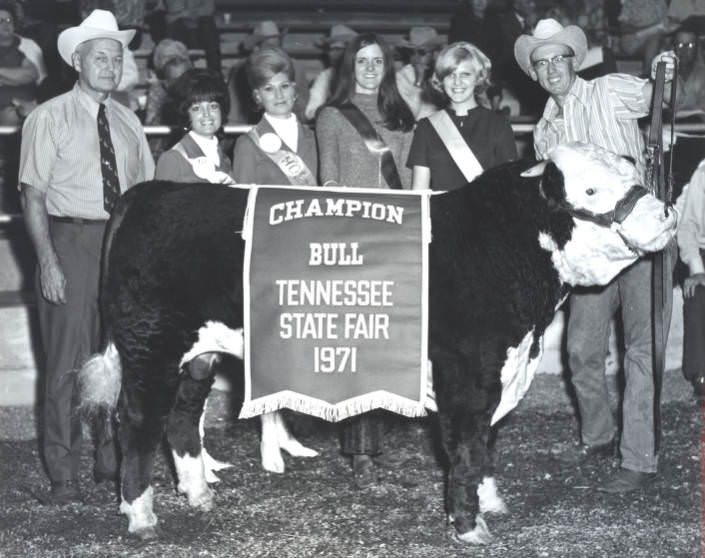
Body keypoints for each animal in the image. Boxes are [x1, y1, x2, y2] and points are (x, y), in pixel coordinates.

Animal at [77, 142, 676, 544]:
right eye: (590, 189)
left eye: (631, 171)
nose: (666, 213)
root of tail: (149, 193)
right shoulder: (468, 376)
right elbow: (466, 447)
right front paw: (469, 526)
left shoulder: (504, 372)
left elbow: (488, 444)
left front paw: (491, 502)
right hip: (149, 346)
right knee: (138, 422)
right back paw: (141, 516)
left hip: (197, 354)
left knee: (181, 417)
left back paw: (199, 494)